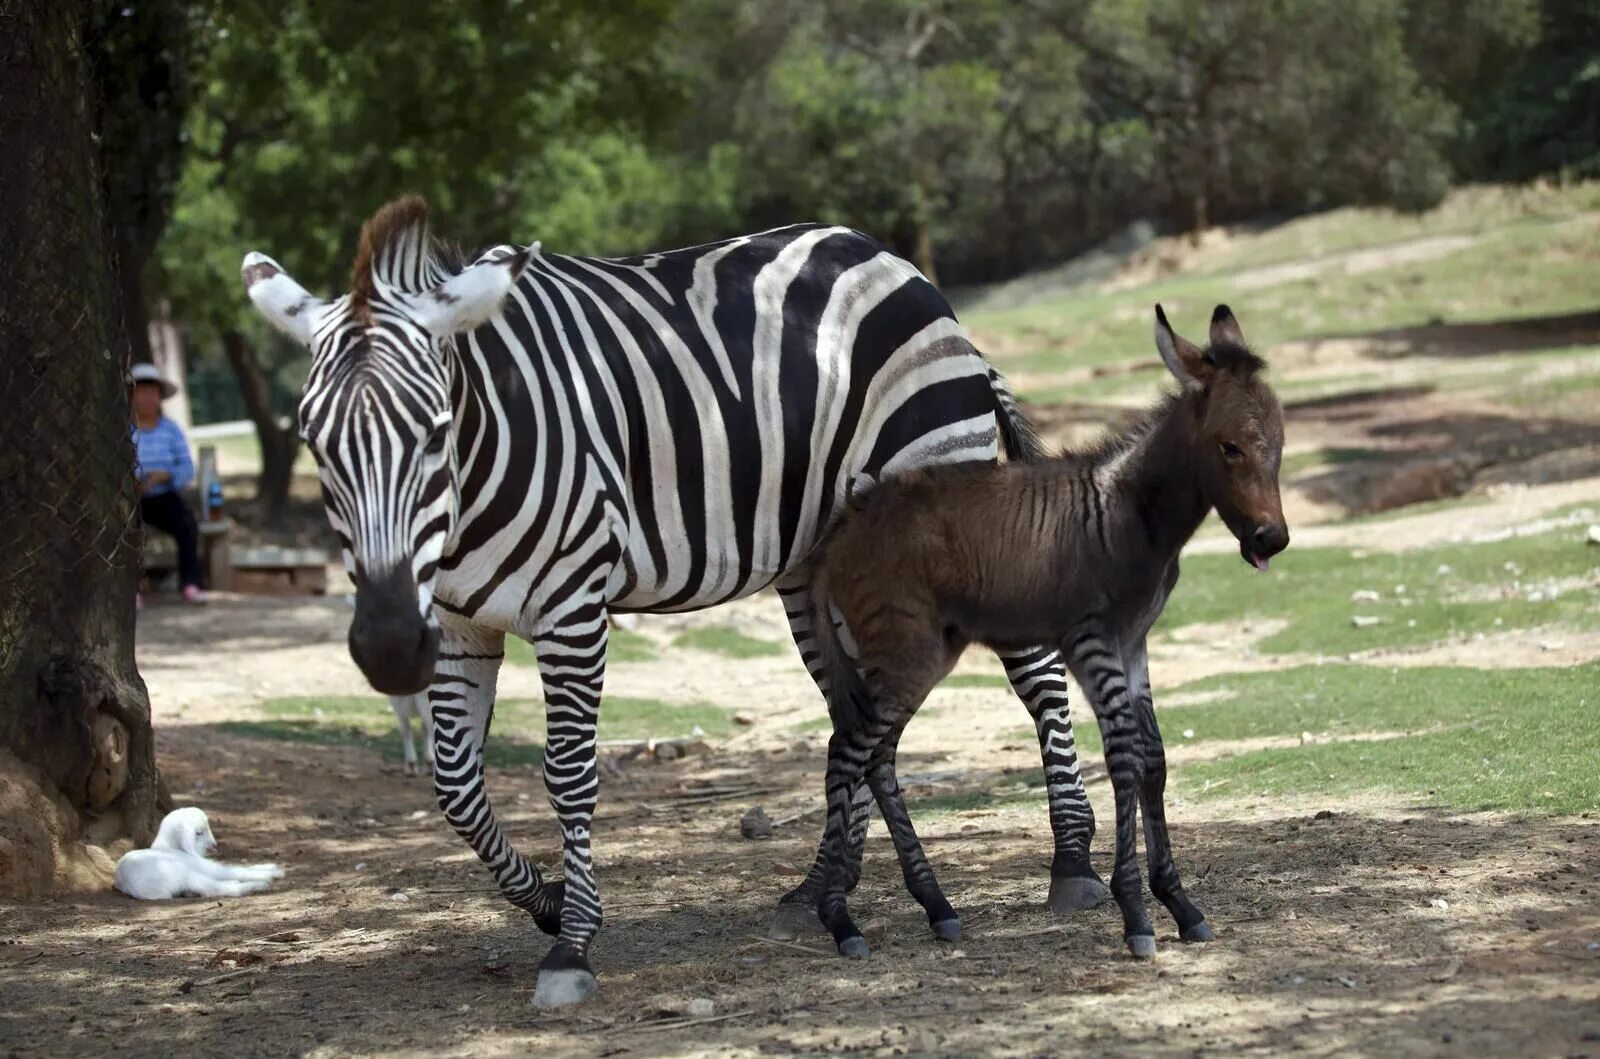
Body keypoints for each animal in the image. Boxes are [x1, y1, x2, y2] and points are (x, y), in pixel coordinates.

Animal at [112, 812, 284, 902]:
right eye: (199, 832)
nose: (214, 845)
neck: (169, 846)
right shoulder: (206, 866)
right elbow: (237, 870)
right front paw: (274, 872)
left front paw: (270, 867)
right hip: (183, 872)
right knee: (217, 888)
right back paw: (258, 885)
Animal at [243, 195, 1107, 1011]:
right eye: (315, 444)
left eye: (433, 433)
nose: (389, 647)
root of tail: (892, 261)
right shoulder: (458, 621)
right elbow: (454, 783)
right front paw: (546, 902)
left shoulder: (572, 607)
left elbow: (568, 772)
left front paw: (573, 942)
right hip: (819, 562)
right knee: (859, 718)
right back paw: (821, 891)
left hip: (944, 489)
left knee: (1034, 676)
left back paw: (1071, 864)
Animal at [800, 305, 1286, 959]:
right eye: (1228, 447)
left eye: (1278, 442)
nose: (1271, 540)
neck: (1128, 512)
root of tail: (843, 530)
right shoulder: (1090, 640)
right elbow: (1125, 759)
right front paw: (1136, 915)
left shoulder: (1133, 643)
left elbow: (1154, 760)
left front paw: (1181, 906)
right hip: (907, 655)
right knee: (845, 753)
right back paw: (840, 921)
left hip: (920, 655)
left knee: (876, 758)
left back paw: (936, 907)